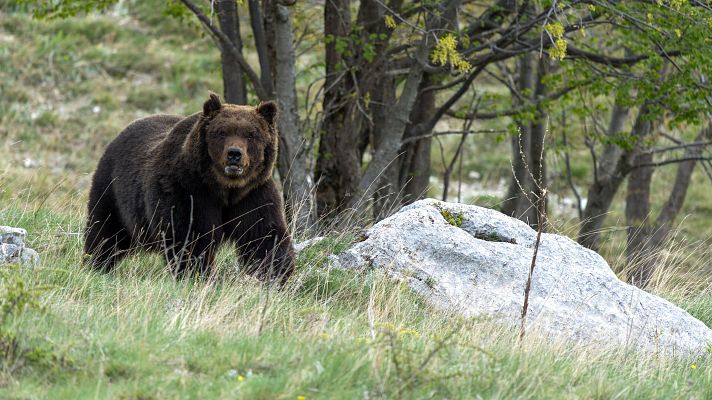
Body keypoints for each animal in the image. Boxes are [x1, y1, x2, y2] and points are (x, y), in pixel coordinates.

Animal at [84, 92, 295, 283]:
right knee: (105, 231)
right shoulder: (188, 190)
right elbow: (190, 236)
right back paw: (95, 264)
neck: (225, 187)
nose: (234, 154)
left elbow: (263, 236)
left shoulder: (252, 194)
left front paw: (277, 276)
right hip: (113, 190)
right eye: (222, 132)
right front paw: (198, 274)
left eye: (251, 135)